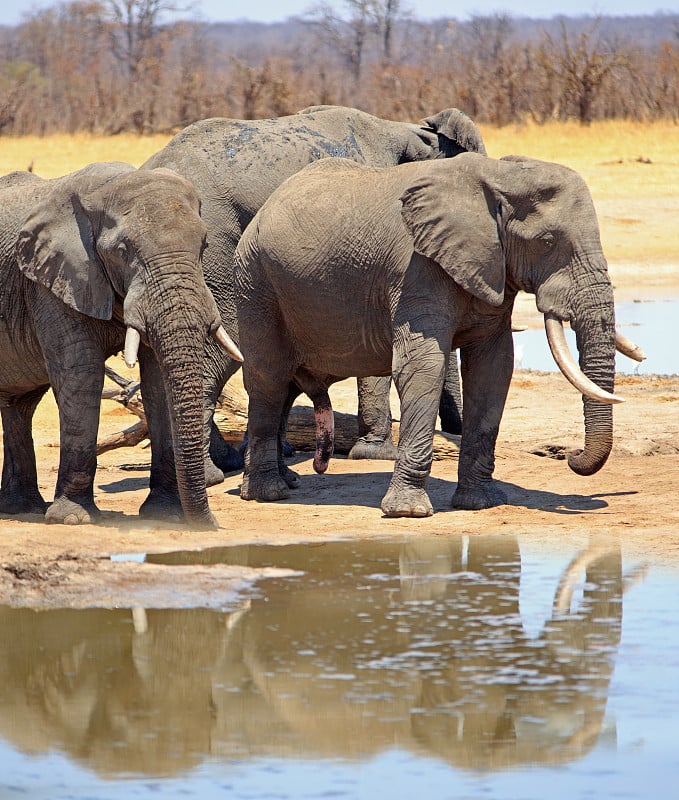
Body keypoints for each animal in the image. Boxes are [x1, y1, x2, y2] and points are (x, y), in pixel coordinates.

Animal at [0, 164, 242, 524]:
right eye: (123, 252)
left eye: (204, 245)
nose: (211, 525)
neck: (105, 188)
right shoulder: (50, 282)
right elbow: (81, 376)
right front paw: (73, 518)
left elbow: (156, 380)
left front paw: (164, 515)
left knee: (20, 405)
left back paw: (23, 508)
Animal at [141, 103, 486, 490]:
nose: (455, 431)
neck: (407, 130)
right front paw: (378, 453)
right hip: (213, 248)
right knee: (224, 347)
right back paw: (215, 474)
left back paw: (235, 463)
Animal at [232, 152, 644, 516]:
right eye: (546, 241)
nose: (571, 456)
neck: (499, 176)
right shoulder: (414, 269)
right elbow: (423, 366)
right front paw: (409, 512)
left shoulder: (490, 270)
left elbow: (493, 369)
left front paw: (481, 503)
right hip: (256, 282)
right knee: (269, 378)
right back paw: (268, 494)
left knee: (286, 387)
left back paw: (282, 484)